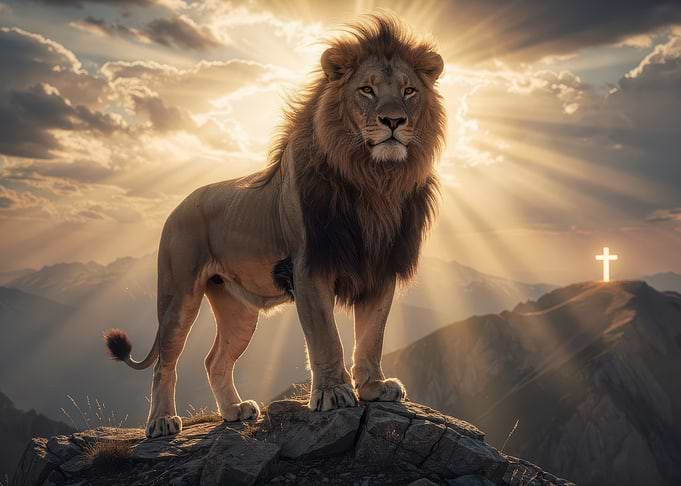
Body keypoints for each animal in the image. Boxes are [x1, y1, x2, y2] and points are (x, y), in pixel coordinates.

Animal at [105, 15, 446, 438]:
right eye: (366, 90)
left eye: (409, 91)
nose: (394, 121)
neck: (374, 182)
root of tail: (179, 204)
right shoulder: (308, 268)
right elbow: (326, 339)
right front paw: (333, 393)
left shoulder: (380, 269)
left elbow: (371, 337)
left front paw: (373, 387)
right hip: (177, 297)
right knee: (165, 363)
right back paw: (163, 421)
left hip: (238, 309)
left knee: (214, 360)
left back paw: (234, 411)